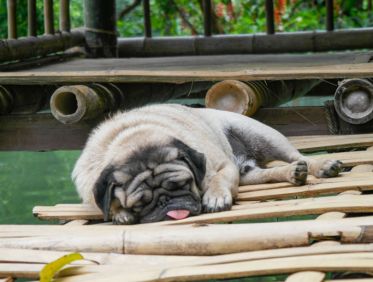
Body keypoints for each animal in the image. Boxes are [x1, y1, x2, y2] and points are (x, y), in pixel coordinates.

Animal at [71, 104, 342, 225]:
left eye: (182, 184)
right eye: (141, 203)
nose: (167, 203)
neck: (134, 138)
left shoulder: (222, 166)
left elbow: (218, 180)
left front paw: (215, 198)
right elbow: (107, 205)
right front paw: (121, 214)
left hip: (264, 136)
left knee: (299, 156)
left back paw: (322, 165)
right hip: (247, 170)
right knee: (267, 173)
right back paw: (292, 174)